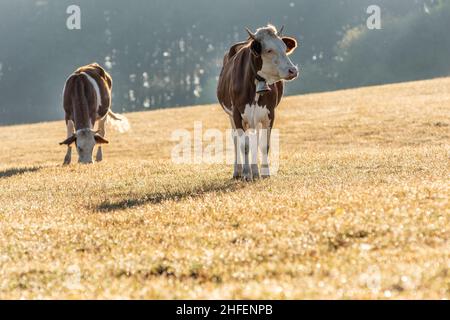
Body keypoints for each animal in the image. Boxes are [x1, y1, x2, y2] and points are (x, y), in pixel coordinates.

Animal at [217, 25, 298, 180]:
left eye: (284, 48)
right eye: (269, 50)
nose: (293, 70)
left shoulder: (270, 113)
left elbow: (264, 144)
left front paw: (265, 172)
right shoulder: (236, 114)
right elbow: (244, 145)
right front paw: (246, 174)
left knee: (255, 138)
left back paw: (255, 171)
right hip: (232, 116)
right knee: (236, 140)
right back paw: (238, 171)